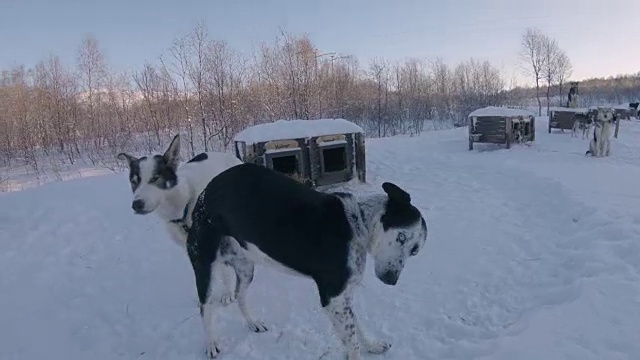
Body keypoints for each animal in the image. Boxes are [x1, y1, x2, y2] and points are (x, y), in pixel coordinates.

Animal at [117, 135, 242, 304]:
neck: (184, 207)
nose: (136, 204)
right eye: (134, 181)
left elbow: (225, 269)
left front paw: (227, 293)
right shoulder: (189, 245)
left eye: (155, 178)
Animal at [182, 164, 428, 360]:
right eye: (401, 237)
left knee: (240, 297)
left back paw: (253, 323)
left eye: (415, 251)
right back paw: (211, 343)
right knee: (205, 308)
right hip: (205, 269)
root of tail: (205, 193)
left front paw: (372, 345)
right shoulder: (334, 297)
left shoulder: (342, 298)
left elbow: (357, 327)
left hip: (246, 268)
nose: (391, 280)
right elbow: (352, 341)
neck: (358, 224)